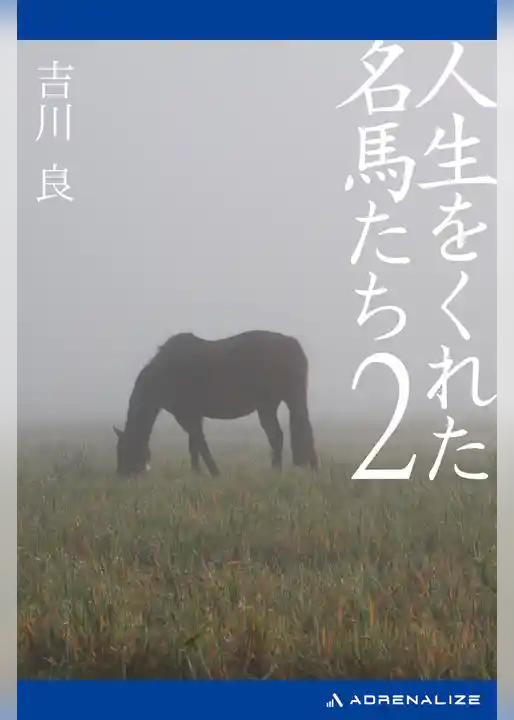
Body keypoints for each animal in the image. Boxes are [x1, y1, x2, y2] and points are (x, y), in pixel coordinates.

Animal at [113, 330, 318, 477]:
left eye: (124, 449)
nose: (122, 475)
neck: (164, 373)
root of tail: (292, 343)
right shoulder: (195, 416)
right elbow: (194, 445)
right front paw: (197, 474)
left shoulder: (186, 416)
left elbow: (199, 443)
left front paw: (214, 473)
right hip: (270, 406)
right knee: (284, 434)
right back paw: (288, 471)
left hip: (282, 403)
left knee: (292, 433)